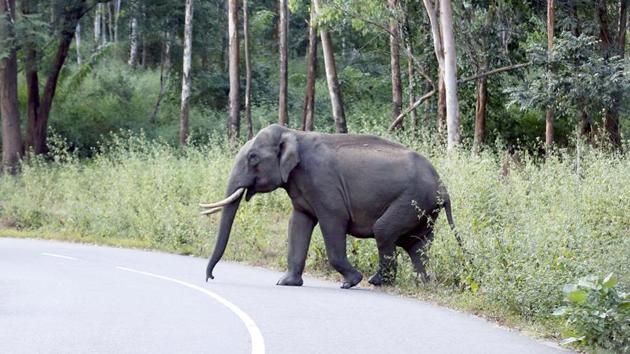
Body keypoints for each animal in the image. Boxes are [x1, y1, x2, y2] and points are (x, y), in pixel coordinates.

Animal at [202, 123, 460, 290]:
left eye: (253, 157)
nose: (210, 278)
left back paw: (376, 281)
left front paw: (351, 281)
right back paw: (423, 284)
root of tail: (444, 187)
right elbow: (298, 224)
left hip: (412, 200)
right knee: (417, 244)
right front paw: (286, 283)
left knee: (385, 231)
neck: (295, 133)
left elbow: (333, 221)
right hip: (424, 209)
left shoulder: (323, 183)